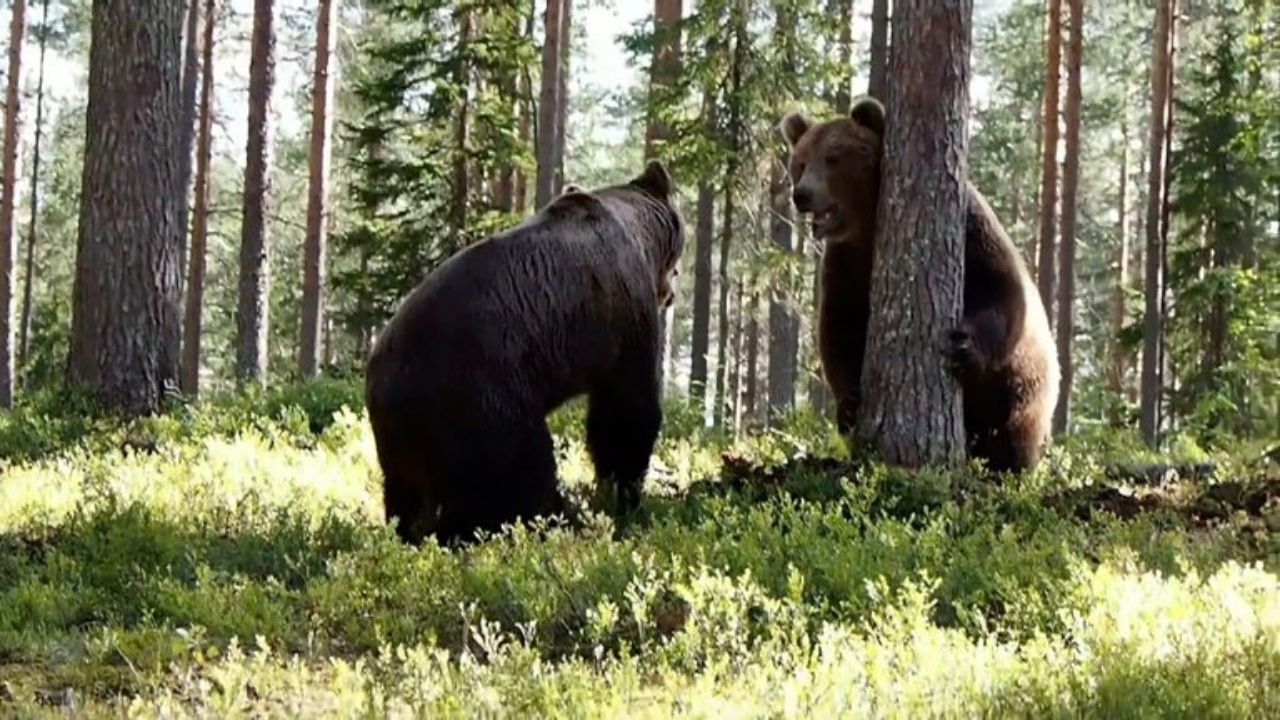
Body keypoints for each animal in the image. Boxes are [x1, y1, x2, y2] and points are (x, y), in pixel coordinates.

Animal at [365, 161, 686, 545]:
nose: (673, 292)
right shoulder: (624, 311)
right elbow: (627, 410)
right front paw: (623, 497)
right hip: (484, 398)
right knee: (519, 477)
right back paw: (551, 520)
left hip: (403, 436)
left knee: (407, 497)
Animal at [779, 97, 1059, 473]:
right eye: (800, 162)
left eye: (834, 157)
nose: (802, 194)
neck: (867, 228)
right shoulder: (846, 264)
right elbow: (839, 327)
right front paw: (850, 404)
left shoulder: (971, 232)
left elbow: (1002, 291)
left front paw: (963, 347)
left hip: (1022, 388)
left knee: (1014, 431)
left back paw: (1006, 464)